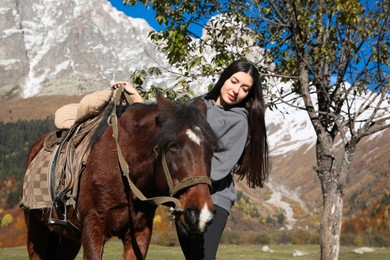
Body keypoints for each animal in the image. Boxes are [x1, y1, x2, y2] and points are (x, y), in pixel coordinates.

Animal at [22, 94, 216, 260]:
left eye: (213, 149)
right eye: (173, 146)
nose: (201, 215)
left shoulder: (139, 232)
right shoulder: (93, 229)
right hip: (37, 231)